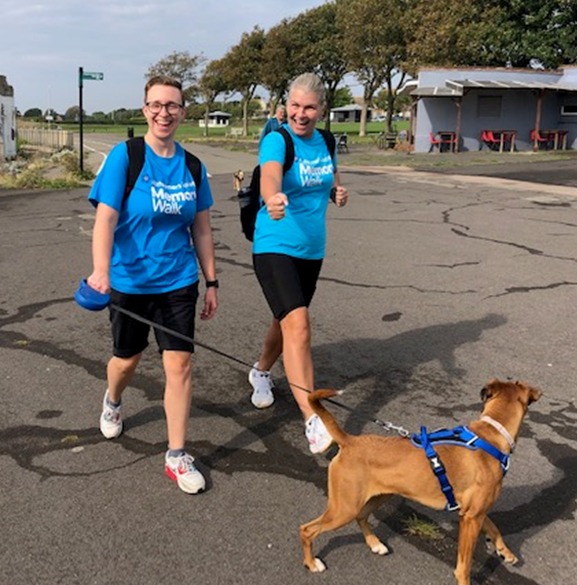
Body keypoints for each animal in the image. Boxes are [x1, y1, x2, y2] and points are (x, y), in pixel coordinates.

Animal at [302, 378, 540, 584]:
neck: (490, 435)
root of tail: (349, 441)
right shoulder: (472, 518)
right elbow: (464, 564)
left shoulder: (474, 513)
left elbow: (494, 527)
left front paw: (505, 552)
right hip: (344, 509)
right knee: (307, 529)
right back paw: (312, 563)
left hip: (378, 497)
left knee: (361, 517)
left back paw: (375, 544)